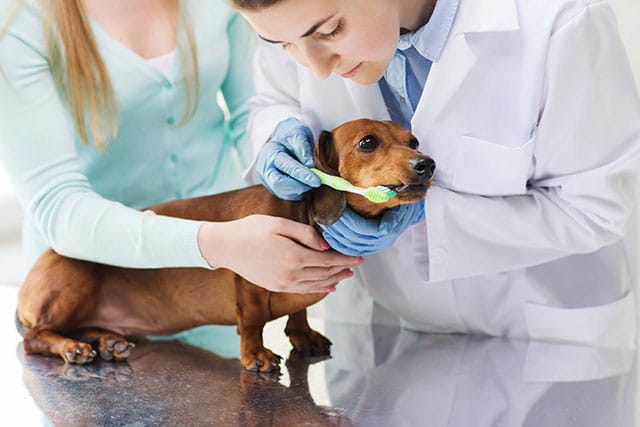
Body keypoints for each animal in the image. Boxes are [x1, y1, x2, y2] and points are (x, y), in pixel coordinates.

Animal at [16, 118, 436, 372]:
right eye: (368, 142)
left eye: (413, 140)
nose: (427, 164)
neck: (300, 211)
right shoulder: (249, 284)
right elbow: (252, 323)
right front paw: (256, 356)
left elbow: (298, 312)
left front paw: (302, 336)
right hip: (74, 284)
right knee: (34, 338)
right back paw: (72, 348)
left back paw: (108, 342)